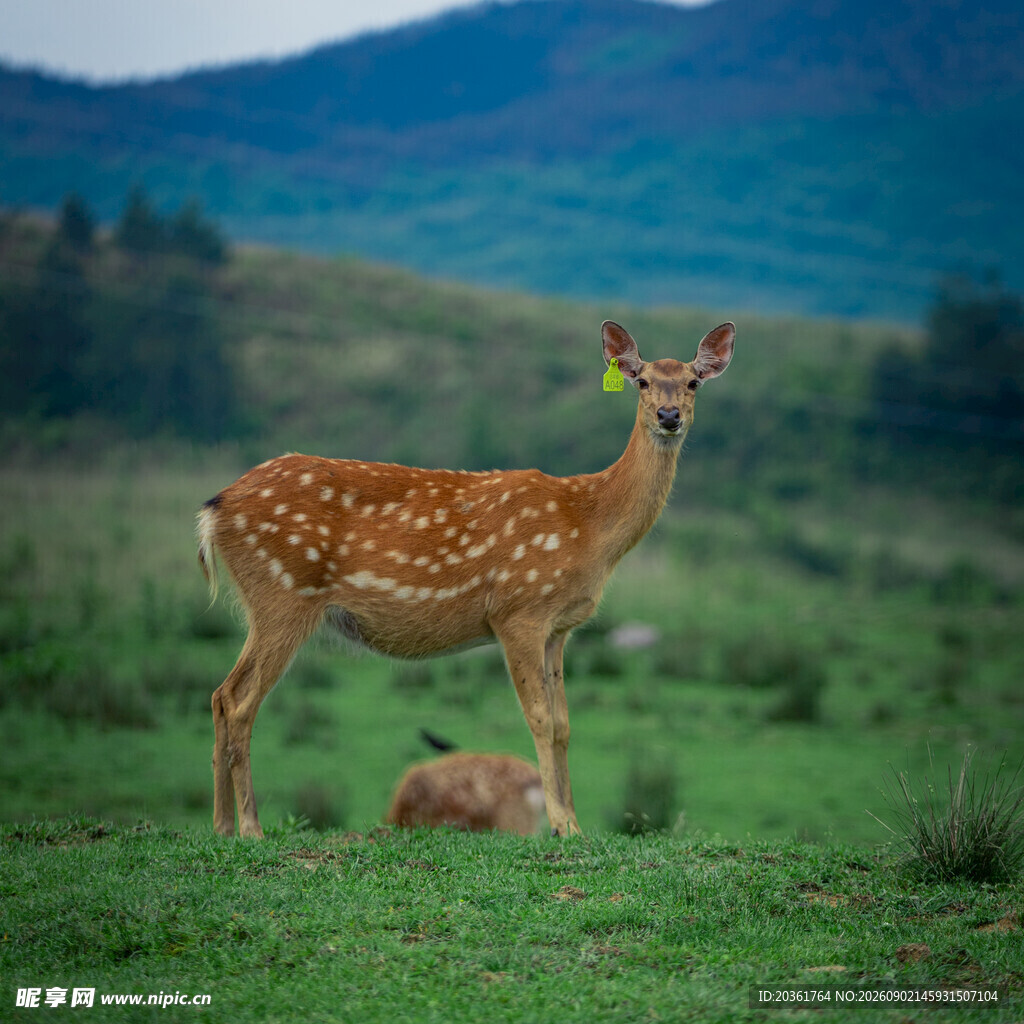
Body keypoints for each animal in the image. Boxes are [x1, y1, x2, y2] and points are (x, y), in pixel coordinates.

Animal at [196, 319, 735, 838]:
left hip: (270, 601)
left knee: (221, 695)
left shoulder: (558, 628)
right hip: (283, 593)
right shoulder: (518, 611)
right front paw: (560, 826)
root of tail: (214, 509)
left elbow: (564, 724)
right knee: (240, 700)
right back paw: (251, 827)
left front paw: (576, 825)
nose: (669, 415)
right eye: (641, 380)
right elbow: (539, 718)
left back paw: (221, 826)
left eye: (692, 382)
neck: (588, 526)